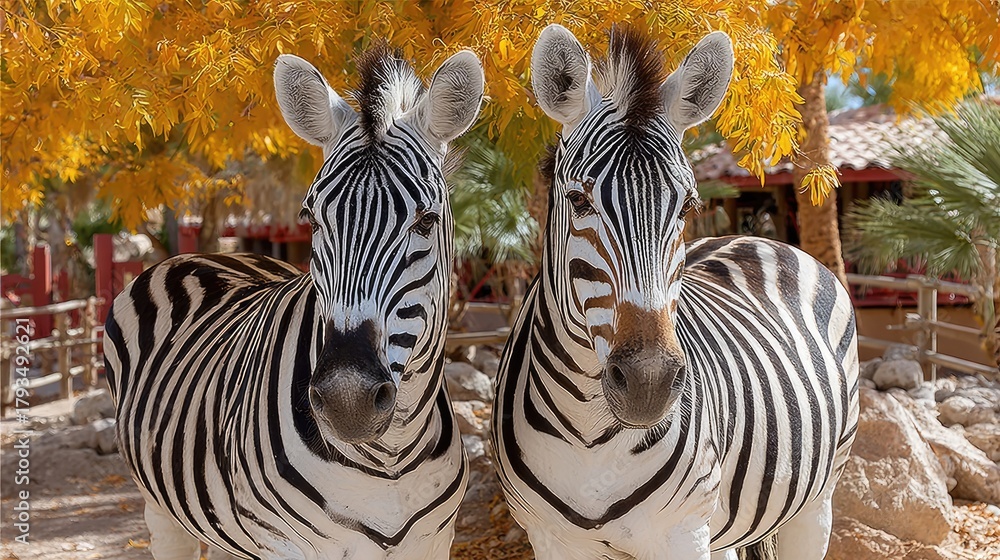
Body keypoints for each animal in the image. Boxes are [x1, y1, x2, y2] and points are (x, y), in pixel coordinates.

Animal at [103, 44, 484, 560]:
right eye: (311, 219)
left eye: (427, 220)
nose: (348, 402)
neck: (391, 459)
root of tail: (206, 254)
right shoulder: (282, 543)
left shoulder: (434, 541)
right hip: (159, 508)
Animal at [492, 24, 859, 560]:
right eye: (578, 200)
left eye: (686, 206)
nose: (649, 382)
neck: (588, 430)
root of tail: (755, 237)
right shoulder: (550, 539)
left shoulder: (680, 532)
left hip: (818, 499)